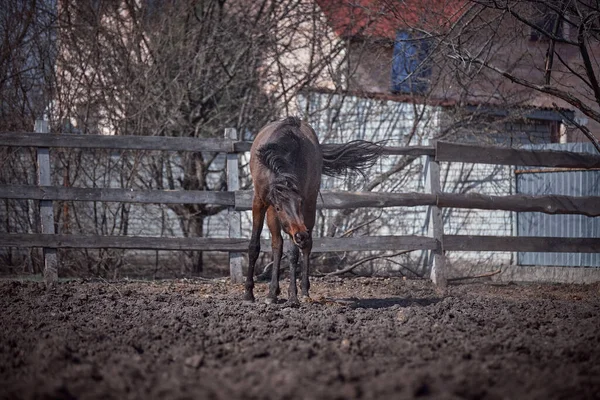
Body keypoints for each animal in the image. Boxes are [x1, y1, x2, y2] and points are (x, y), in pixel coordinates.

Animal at [246, 117, 382, 304]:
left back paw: (303, 291)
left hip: (310, 207)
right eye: (280, 207)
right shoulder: (260, 202)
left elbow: (294, 252)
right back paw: (273, 293)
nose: (300, 235)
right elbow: (254, 246)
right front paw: (248, 293)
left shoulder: (304, 203)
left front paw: (293, 295)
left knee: (305, 246)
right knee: (277, 244)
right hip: (273, 213)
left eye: (299, 203)